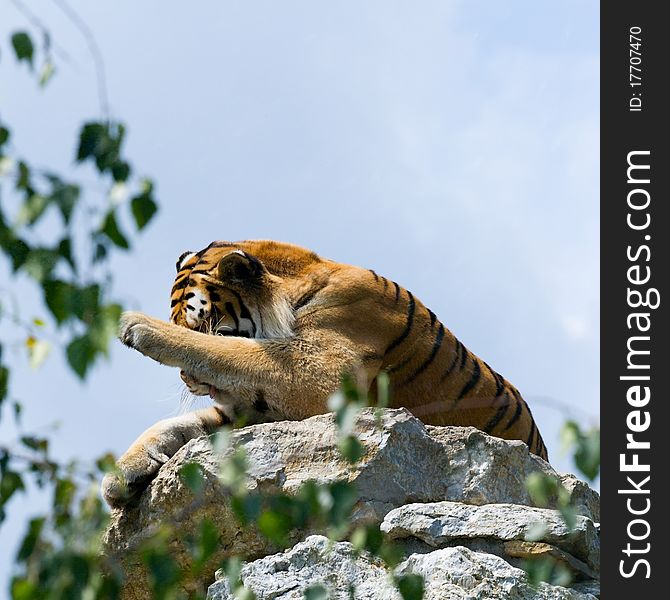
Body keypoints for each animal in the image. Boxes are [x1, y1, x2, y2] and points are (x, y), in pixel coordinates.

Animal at [102, 239, 548, 506]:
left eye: (202, 325)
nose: (187, 380)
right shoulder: (260, 407)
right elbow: (178, 424)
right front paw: (122, 474)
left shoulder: (318, 373)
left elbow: (227, 351)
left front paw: (136, 325)